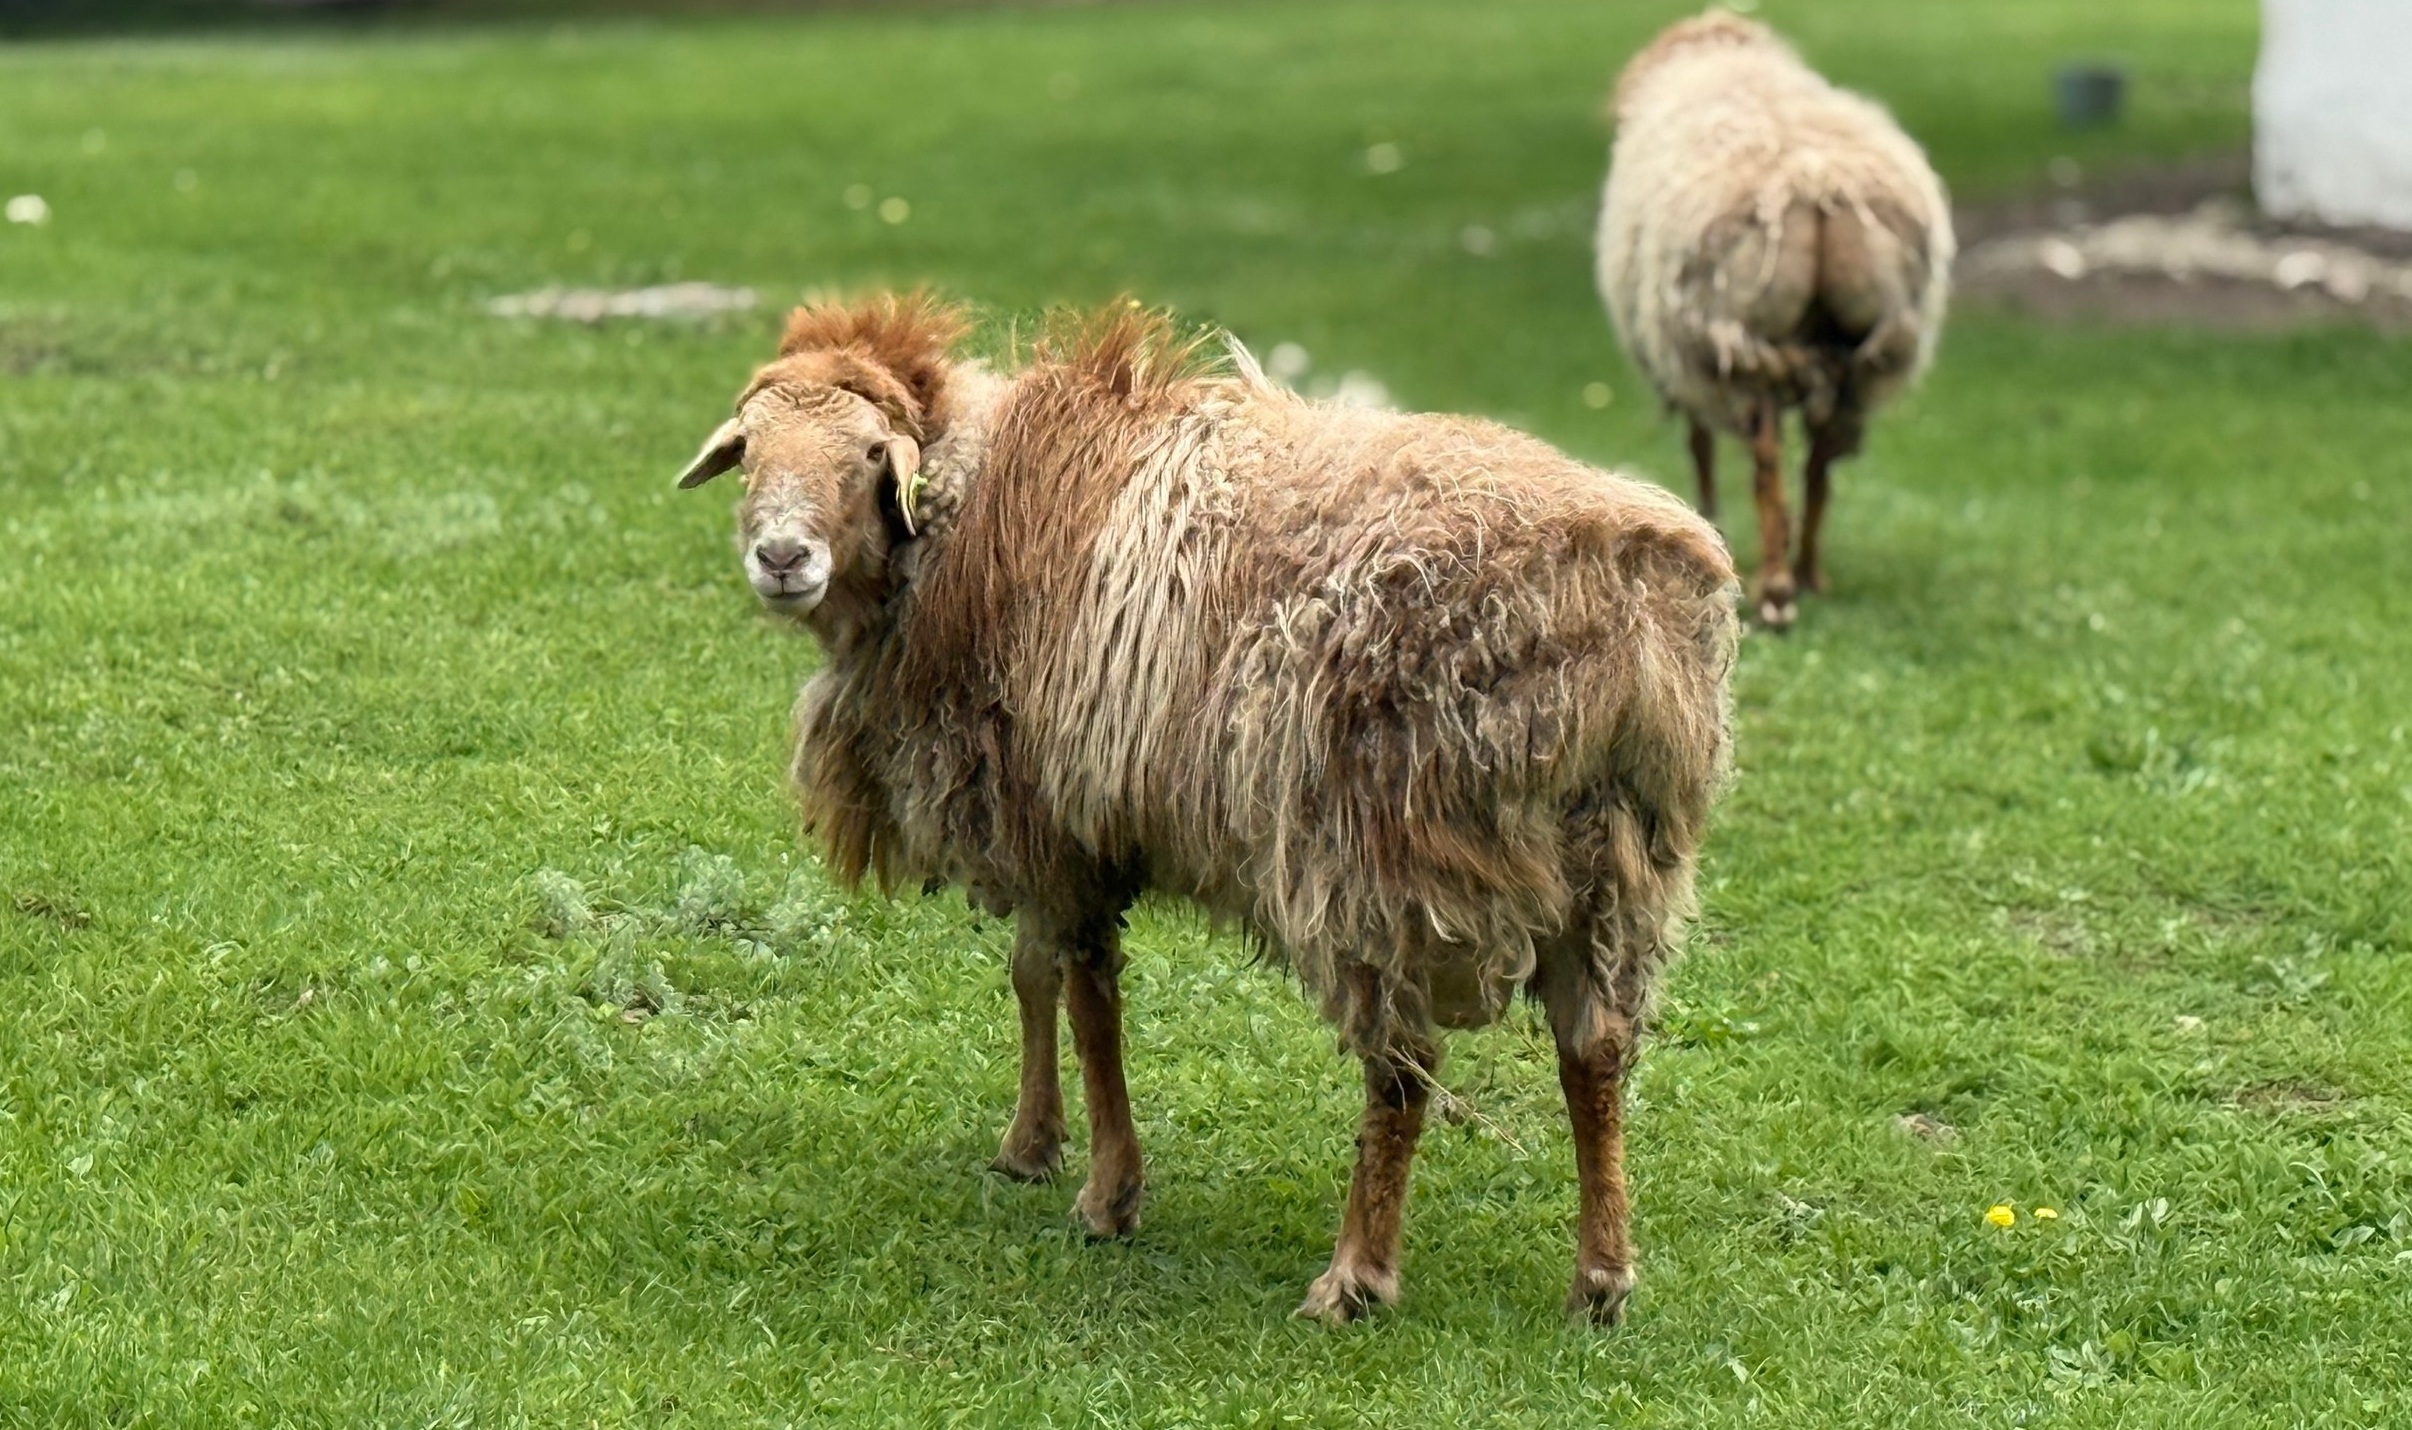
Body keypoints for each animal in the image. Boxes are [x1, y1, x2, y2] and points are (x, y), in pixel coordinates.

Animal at [672, 293, 1737, 1324]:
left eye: (867, 455)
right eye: (749, 450)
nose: (781, 557)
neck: (963, 516)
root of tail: (1620, 587)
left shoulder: (1059, 816)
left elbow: (1088, 1000)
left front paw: (1108, 1197)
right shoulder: (1044, 820)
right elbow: (1031, 975)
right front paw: (1031, 1145)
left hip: (1384, 854)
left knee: (1403, 1065)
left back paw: (1354, 1278)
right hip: (1619, 859)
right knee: (1594, 1051)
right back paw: (1601, 1280)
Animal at [1596, 10, 1953, 627]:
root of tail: (1814, 184)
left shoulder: (1686, 363)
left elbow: (1700, 446)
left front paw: (1706, 519)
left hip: (1739, 348)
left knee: (1766, 464)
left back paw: (1777, 588)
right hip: (1864, 357)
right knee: (1819, 463)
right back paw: (1808, 572)